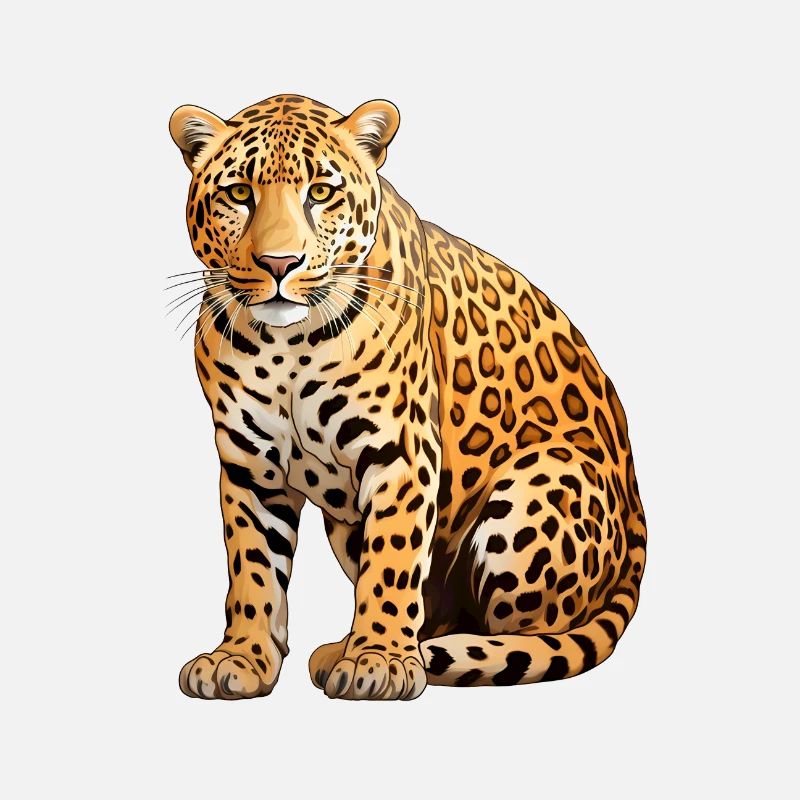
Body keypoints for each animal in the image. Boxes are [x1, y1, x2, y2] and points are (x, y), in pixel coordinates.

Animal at [168, 94, 647, 700]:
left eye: (320, 192)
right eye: (238, 193)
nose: (280, 263)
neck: (286, 347)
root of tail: (638, 520)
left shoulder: (401, 451)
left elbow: (392, 563)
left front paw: (380, 661)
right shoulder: (250, 464)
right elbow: (252, 569)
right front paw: (243, 658)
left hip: (541, 482)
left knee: (534, 634)